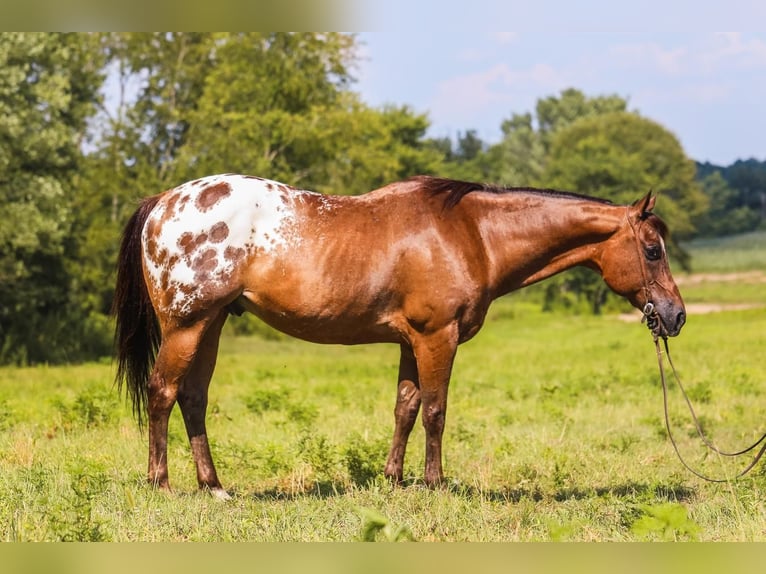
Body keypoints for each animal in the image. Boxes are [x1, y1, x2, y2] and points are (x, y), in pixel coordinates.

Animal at [111, 174, 688, 500]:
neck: (473, 234)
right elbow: (435, 410)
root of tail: (163, 201)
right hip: (187, 326)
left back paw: (214, 488)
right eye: (652, 250)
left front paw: (393, 480)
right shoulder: (437, 338)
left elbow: (405, 408)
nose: (675, 315)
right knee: (162, 393)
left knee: (192, 398)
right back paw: (162, 484)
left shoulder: (412, 343)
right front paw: (435, 485)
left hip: (211, 324)